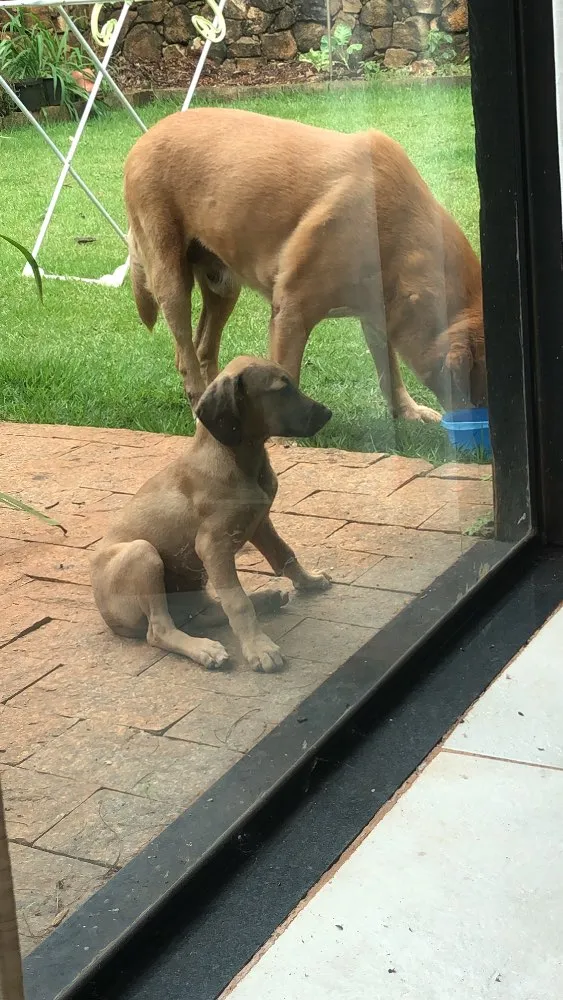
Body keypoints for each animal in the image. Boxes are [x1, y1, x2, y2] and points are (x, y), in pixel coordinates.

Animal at [90, 356, 332, 676]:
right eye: (281, 390)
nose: (328, 413)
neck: (238, 460)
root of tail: (108, 619)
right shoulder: (212, 545)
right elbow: (237, 602)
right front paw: (259, 649)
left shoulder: (260, 524)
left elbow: (284, 554)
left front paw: (309, 581)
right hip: (142, 553)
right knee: (159, 630)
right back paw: (205, 649)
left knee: (203, 613)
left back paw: (265, 599)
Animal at [125, 107, 486, 420]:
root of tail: (144, 138)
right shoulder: (292, 310)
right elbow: (288, 375)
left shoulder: (377, 315)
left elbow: (390, 372)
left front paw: (408, 413)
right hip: (172, 280)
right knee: (185, 353)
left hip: (223, 284)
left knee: (203, 348)